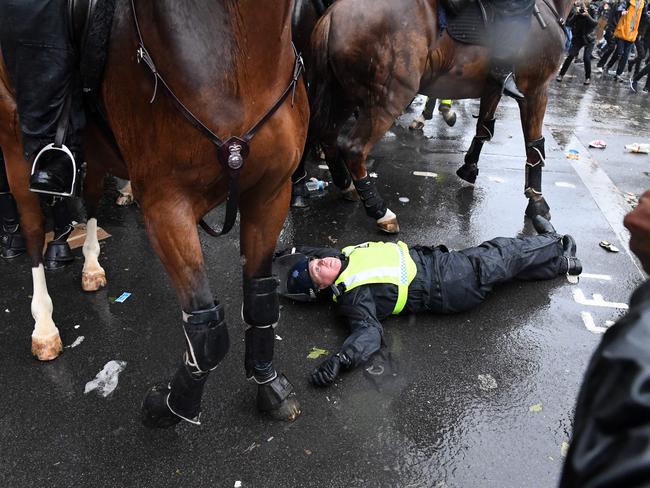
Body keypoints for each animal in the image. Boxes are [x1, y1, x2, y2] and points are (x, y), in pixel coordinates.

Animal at [0, 0, 308, 426]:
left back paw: (91, 266)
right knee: (32, 232)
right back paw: (44, 327)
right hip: (14, 145)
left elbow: (261, 300)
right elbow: (206, 329)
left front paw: (268, 384)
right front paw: (170, 406)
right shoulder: (167, 205)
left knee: (91, 201)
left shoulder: (271, 192)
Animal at [306, 0, 568, 234]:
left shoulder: (493, 89)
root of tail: (334, 13)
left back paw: (346, 185)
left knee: (328, 134)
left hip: (342, 94)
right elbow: (534, 146)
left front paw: (469, 167)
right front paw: (536, 203)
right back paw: (380, 211)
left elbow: (484, 128)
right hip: (388, 98)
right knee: (353, 148)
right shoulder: (535, 91)